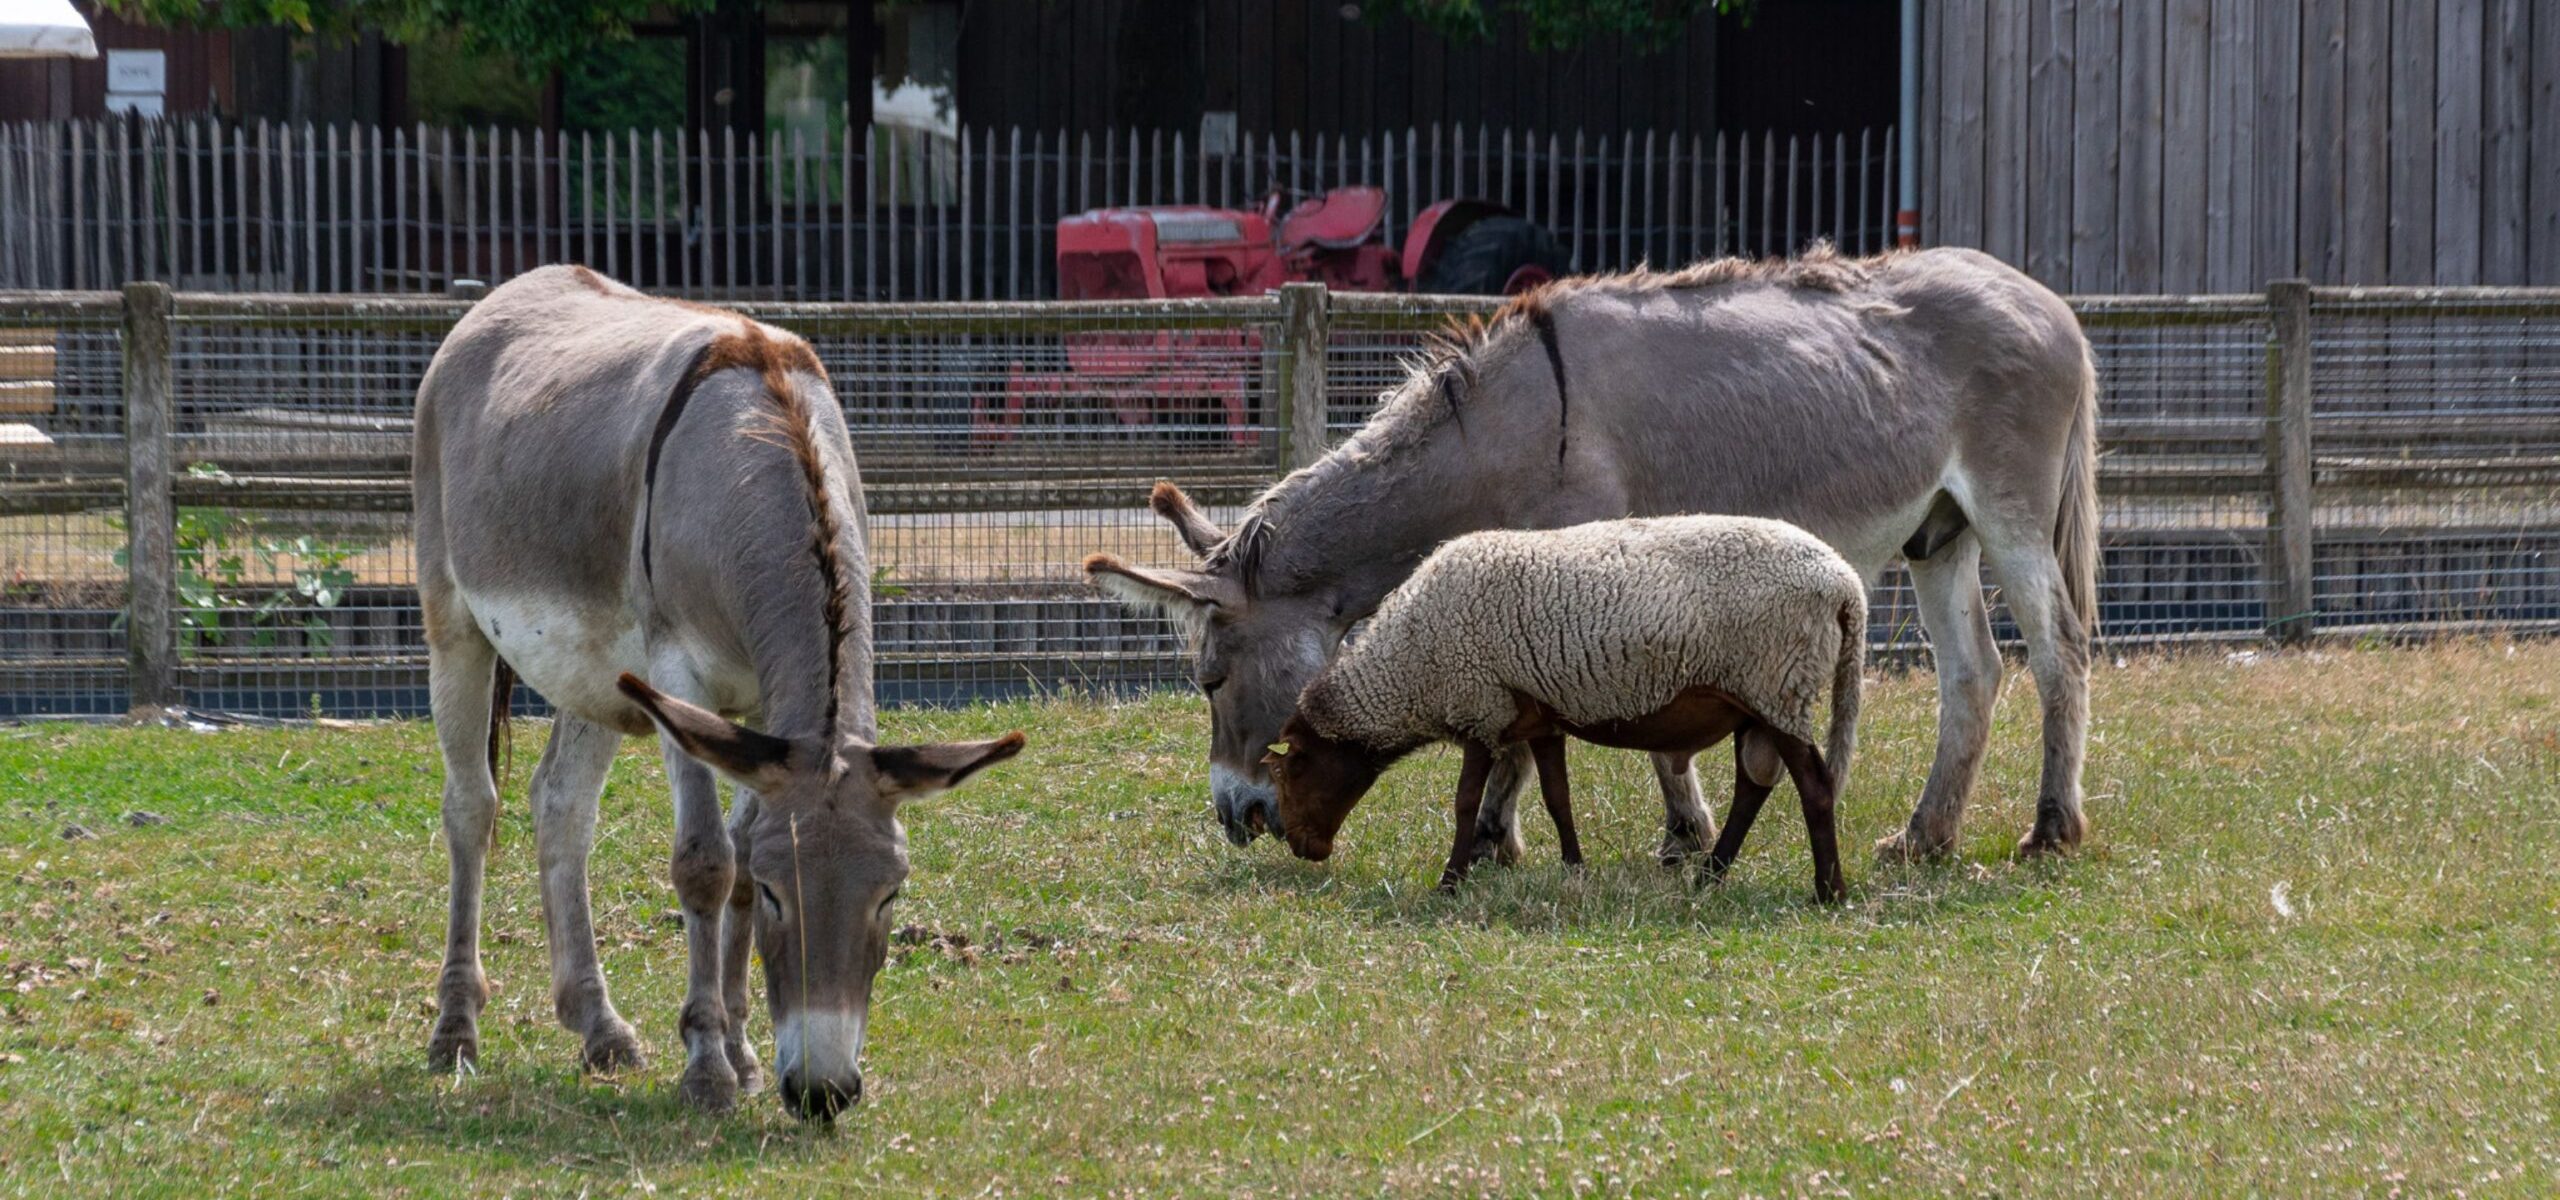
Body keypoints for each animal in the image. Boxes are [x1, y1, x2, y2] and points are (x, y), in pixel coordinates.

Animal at [1269, 514, 1873, 900]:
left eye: (1292, 768)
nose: (1300, 847)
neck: (1409, 666)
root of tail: (1846, 584)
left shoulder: (1479, 708)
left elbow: (1465, 803)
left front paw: (1450, 882)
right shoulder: (1539, 718)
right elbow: (1558, 799)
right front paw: (1574, 869)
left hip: (1777, 687)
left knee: (1815, 786)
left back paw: (1827, 891)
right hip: (1762, 699)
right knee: (1754, 786)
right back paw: (1711, 877)